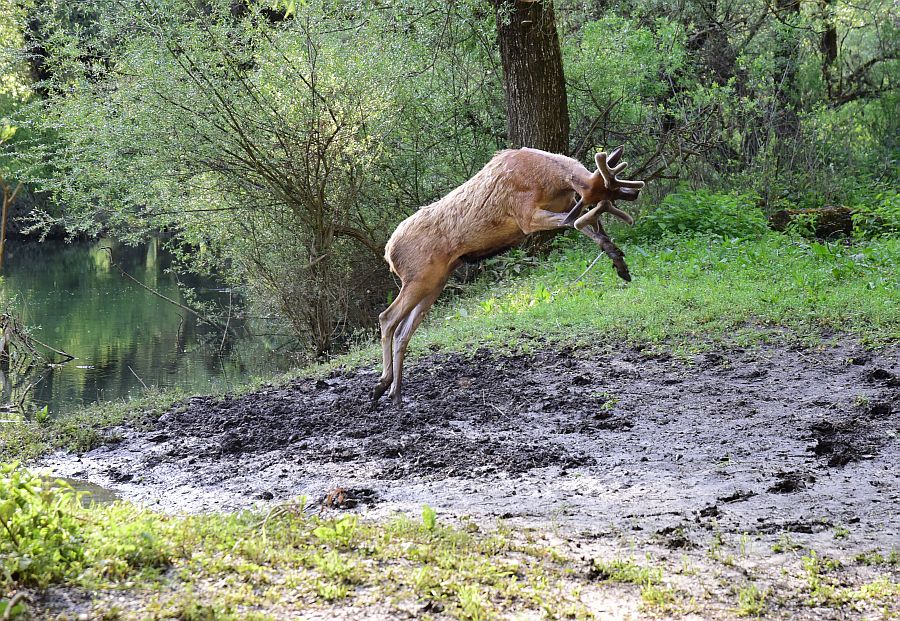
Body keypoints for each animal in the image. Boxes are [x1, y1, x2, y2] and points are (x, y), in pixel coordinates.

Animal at [372, 145, 648, 406]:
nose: (634, 193)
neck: (547, 179)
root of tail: (388, 252)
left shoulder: (567, 205)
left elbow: (588, 225)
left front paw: (620, 263)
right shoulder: (525, 215)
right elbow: (577, 223)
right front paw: (616, 257)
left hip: (436, 282)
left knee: (403, 332)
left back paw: (395, 393)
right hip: (418, 277)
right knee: (387, 318)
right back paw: (381, 384)